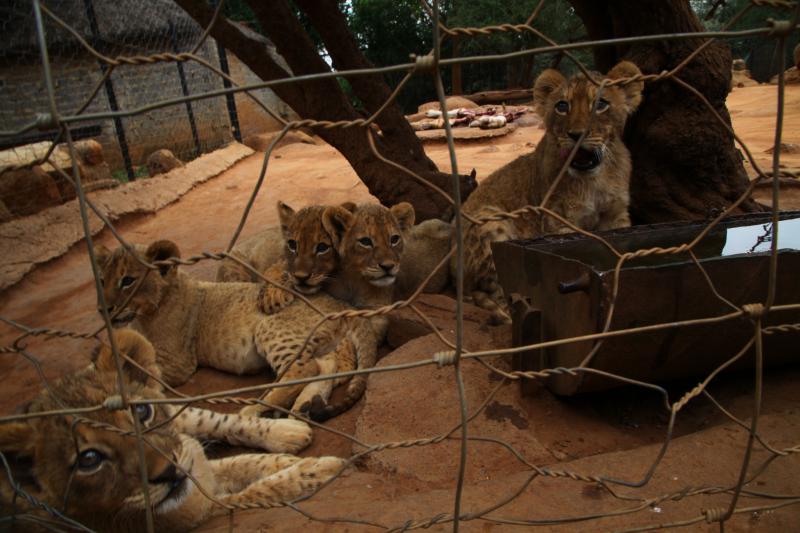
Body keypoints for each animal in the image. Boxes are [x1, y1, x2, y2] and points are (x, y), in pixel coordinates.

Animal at [0, 329, 346, 532]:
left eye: (141, 412)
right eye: (89, 460)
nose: (168, 471)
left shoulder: (192, 462)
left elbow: (241, 459)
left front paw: (291, 458)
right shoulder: (199, 509)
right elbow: (256, 491)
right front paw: (317, 470)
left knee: (209, 418)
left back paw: (286, 429)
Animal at [456, 61, 644, 323]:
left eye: (601, 104)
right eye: (562, 106)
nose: (576, 134)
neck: (593, 180)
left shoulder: (616, 215)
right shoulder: (558, 219)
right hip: (491, 220)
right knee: (497, 289)